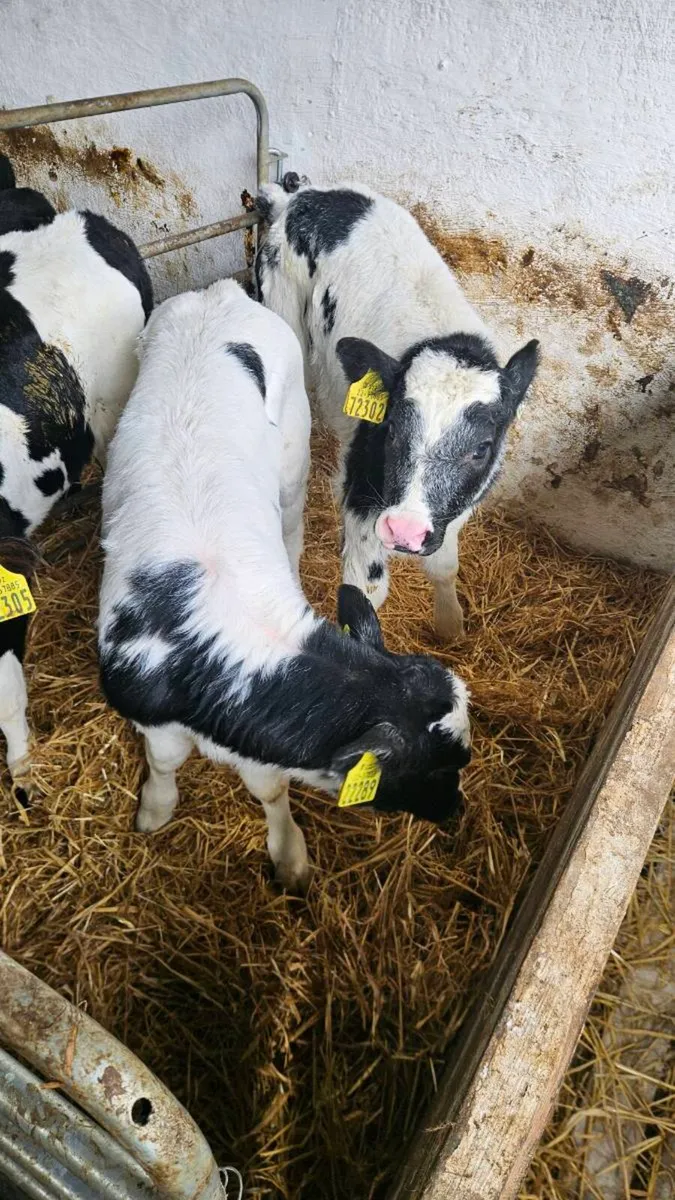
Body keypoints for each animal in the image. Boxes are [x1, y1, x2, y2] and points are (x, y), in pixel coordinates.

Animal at [98, 279, 471, 892]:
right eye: (437, 765)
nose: (456, 810)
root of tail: (219, 293)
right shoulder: (151, 713)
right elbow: (164, 762)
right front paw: (155, 807)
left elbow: (269, 789)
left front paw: (289, 853)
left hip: (294, 465)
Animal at [255, 181, 539, 642]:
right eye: (389, 430)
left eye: (481, 448)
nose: (404, 529)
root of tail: (299, 195)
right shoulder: (362, 493)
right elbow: (365, 591)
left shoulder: (455, 507)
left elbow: (444, 565)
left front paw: (450, 623)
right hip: (280, 306)